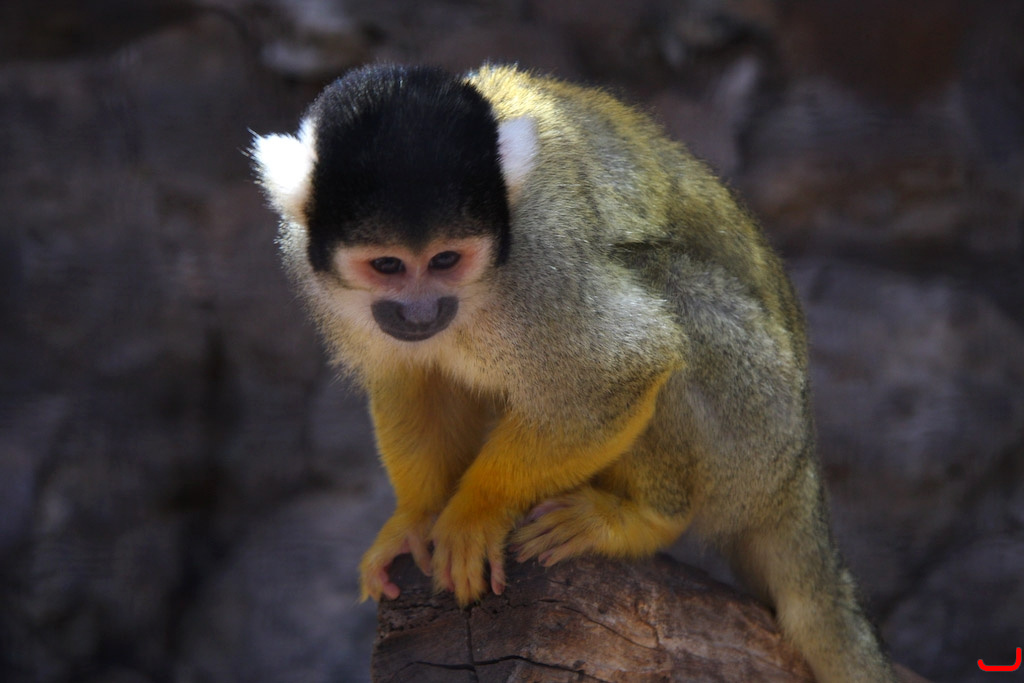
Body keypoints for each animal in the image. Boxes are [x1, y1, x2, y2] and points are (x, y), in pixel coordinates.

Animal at [251, 63, 896, 682]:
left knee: (669, 292)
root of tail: (801, 472)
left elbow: (623, 369)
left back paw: (646, 518)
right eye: (387, 265)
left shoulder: (544, 265)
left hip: (758, 419)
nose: (420, 313)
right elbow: (413, 381)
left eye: (445, 260)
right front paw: (416, 518)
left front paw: (475, 512)